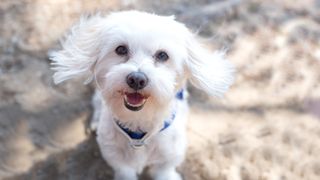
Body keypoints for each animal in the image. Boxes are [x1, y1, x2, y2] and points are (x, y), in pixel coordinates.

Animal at [51, 10, 234, 180]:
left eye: (162, 55)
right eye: (121, 49)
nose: (137, 79)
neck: (138, 126)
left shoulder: (167, 160)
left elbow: (165, 171)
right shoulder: (118, 161)